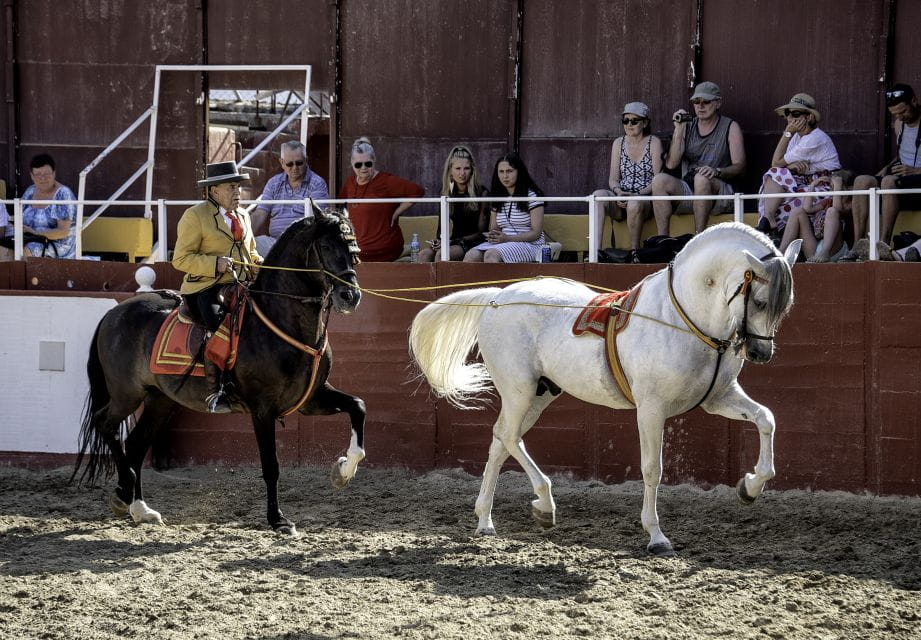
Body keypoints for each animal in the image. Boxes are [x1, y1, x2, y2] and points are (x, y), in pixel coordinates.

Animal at [72, 207, 366, 535]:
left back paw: (140, 508)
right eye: (326, 245)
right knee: (105, 425)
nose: (350, 296)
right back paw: (124, 491)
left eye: (353, 249)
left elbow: (358, 407)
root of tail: (115, 313)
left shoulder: (311, 399)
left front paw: (343, 471)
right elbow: (271, 466)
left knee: (135, 444)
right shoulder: (262, 409)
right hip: (127, 394)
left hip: (160, 400)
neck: (282, 321)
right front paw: (277, 519)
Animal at [409, 223, 801, 556]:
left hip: (539, 395)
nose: (760, 353)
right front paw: (656, 536)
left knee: (501, 442)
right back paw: (544, 504)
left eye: (786, 305)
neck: (682, 319)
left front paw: (750, 487)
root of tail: (497, 298)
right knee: (507, 437)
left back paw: (486, 520)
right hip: (519, 390)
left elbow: (766, 419)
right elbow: (652, 468)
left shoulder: (718, 398)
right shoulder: (652, 408)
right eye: (760, 301)